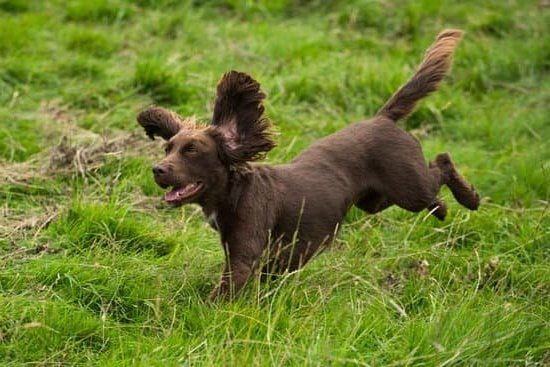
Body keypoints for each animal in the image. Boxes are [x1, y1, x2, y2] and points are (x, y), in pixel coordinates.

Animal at [137, 29, 478, 302]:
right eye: (168, 148)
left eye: (192, 150)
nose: (157, 169)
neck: (233, 191)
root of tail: (382, 118)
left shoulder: (244, 254)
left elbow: (224, 291)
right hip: (375, 200)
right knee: (429, 186)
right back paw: (442, 208)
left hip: (408, 187)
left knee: (443, 162)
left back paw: (469, 198)